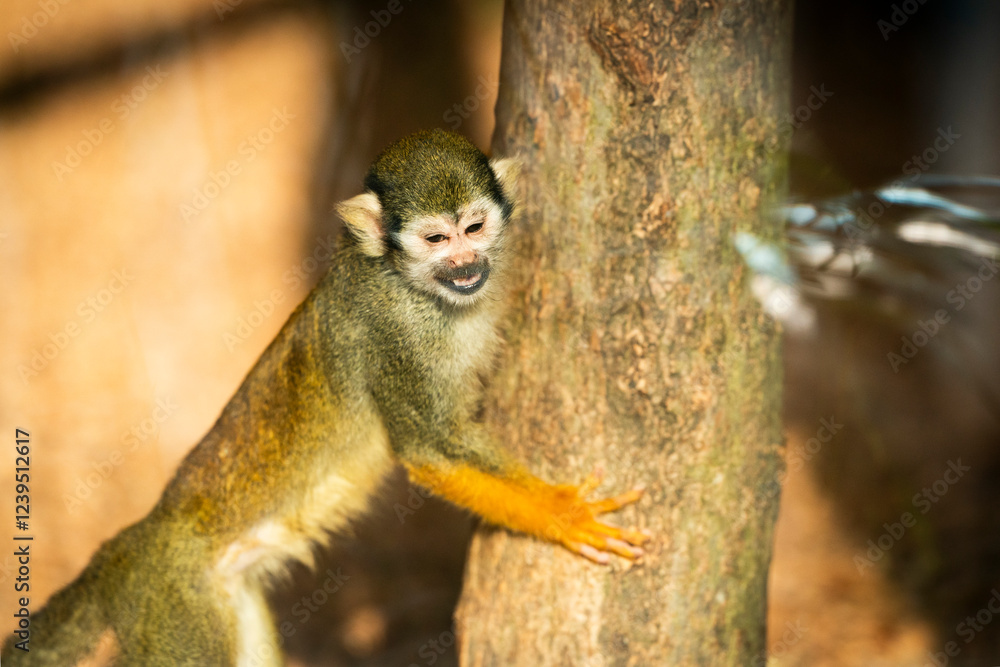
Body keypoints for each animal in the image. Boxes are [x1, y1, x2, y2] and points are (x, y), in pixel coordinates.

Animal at [2, 129, 648, 666]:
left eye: (474, 229)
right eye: (436, 238)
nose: (465, 263)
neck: (415, 289)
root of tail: (129, 546)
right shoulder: (395, 334)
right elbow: (429, 450)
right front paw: (564, 516)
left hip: (219, 599)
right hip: (172, 608)